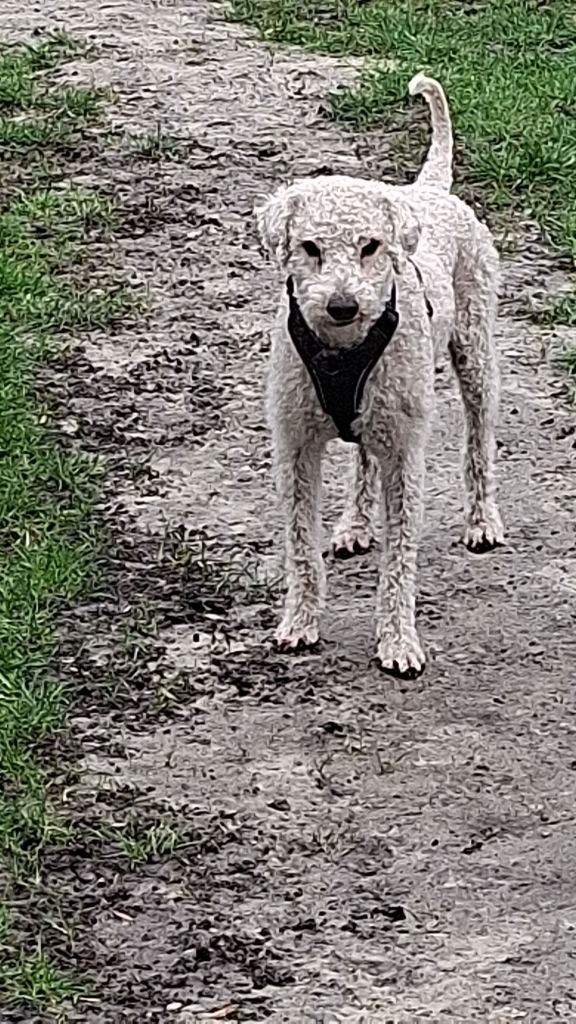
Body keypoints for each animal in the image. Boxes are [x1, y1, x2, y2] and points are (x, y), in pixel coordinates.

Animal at [255, 73, 504, 678]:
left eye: (371, 246)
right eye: (310, 247)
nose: (343, 306)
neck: (343, 351)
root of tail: (429, 189)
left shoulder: (406, 457)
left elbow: (400, 559)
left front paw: (398, 641)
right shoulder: (296, 446)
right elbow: (300, 545)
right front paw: (300, 622)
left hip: (475, 356)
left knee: (478, 442)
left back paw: (482, 521)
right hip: (379, 413)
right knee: (363, 456)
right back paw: (355, 525)